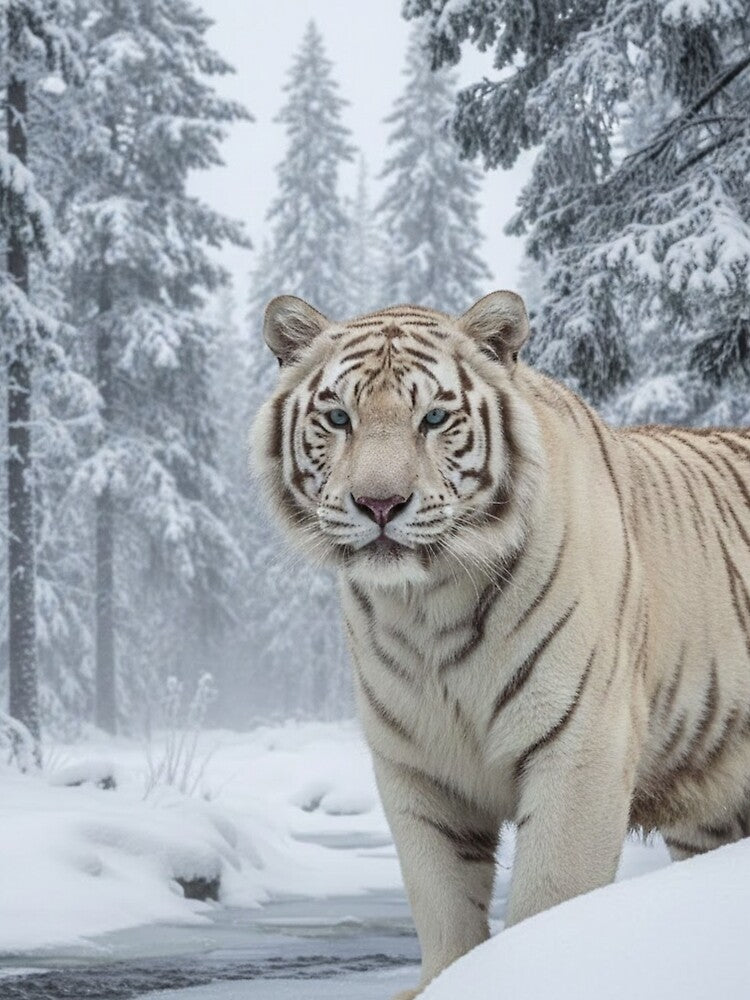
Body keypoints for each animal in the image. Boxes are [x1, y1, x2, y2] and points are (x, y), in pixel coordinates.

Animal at [252, 291, 750, 999]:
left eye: (434, 417)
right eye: (338, 417)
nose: (379, 504)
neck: (426, 607)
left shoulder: (580, 748)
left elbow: (549, 894)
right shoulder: (417, 767)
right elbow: (441, 902)